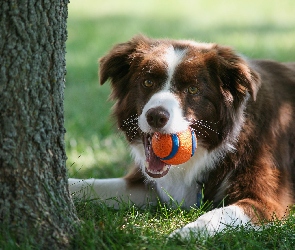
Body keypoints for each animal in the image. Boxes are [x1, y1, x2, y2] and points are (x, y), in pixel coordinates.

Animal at [69, 34, 295, 238]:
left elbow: (218, 214)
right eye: (148, 82)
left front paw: (185, 233)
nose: (156, 116)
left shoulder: (266, 202)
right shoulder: (150, 187)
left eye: (193, 89)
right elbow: (90, 184)